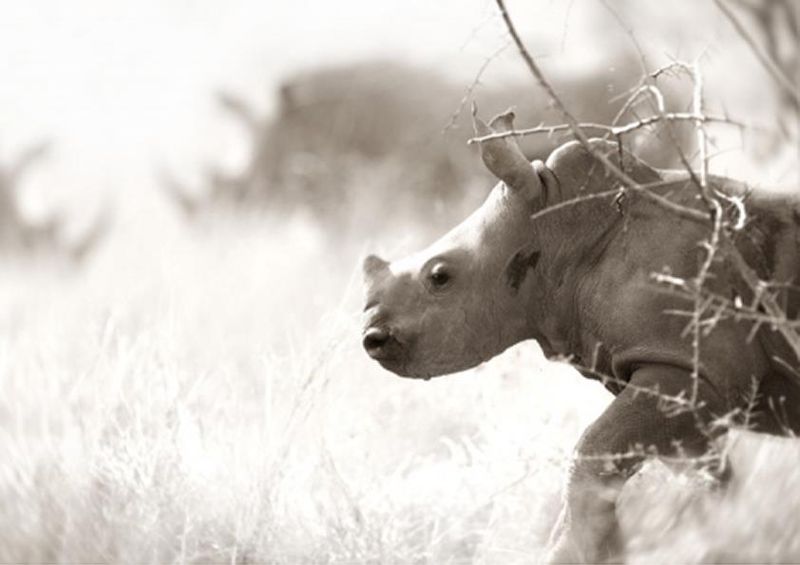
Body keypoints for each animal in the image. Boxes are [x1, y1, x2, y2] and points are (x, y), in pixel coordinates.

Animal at [361, 109, 800, 562]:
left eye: (440, 276)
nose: (372, 338)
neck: (558, 232)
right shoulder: (690, 391)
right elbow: (710, 482)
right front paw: (725, 536)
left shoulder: (694, 371)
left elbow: (593, 447)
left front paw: (577, 552)